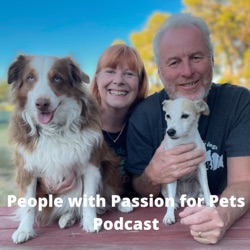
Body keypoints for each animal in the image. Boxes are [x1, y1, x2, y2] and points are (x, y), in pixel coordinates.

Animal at [7, 55, 129, 244]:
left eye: (57, 78)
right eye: (30, 78)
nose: (42, 103)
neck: (53, 129)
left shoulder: (91, 165)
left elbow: (89, 198)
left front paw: (91, 222)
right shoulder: (26, 169)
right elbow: (28, 204)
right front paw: (24, 230)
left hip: (109, 165)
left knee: (108, 193)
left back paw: (122, 204)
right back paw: (67, 218)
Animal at [162, 97, 213, 225]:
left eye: (185, 116)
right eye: (168, 116)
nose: (170, 131)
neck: (183, 141)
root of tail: (185, 197)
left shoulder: (201, 168)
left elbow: (207, 189)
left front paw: (211, 205)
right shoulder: (171, 171)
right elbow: (170, 198)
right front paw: (169, 216)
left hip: (197, 181)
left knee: (200, 191)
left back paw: (201, 198)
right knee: (169, 197)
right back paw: (175, 203)